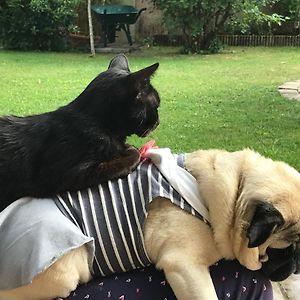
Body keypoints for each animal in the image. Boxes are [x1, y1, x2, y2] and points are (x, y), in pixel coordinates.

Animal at [0, 55, 159, 212]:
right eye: (156, 105)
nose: (158, 122)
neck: (94, 121)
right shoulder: (66, 174)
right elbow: (133, 155)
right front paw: (129, 150)